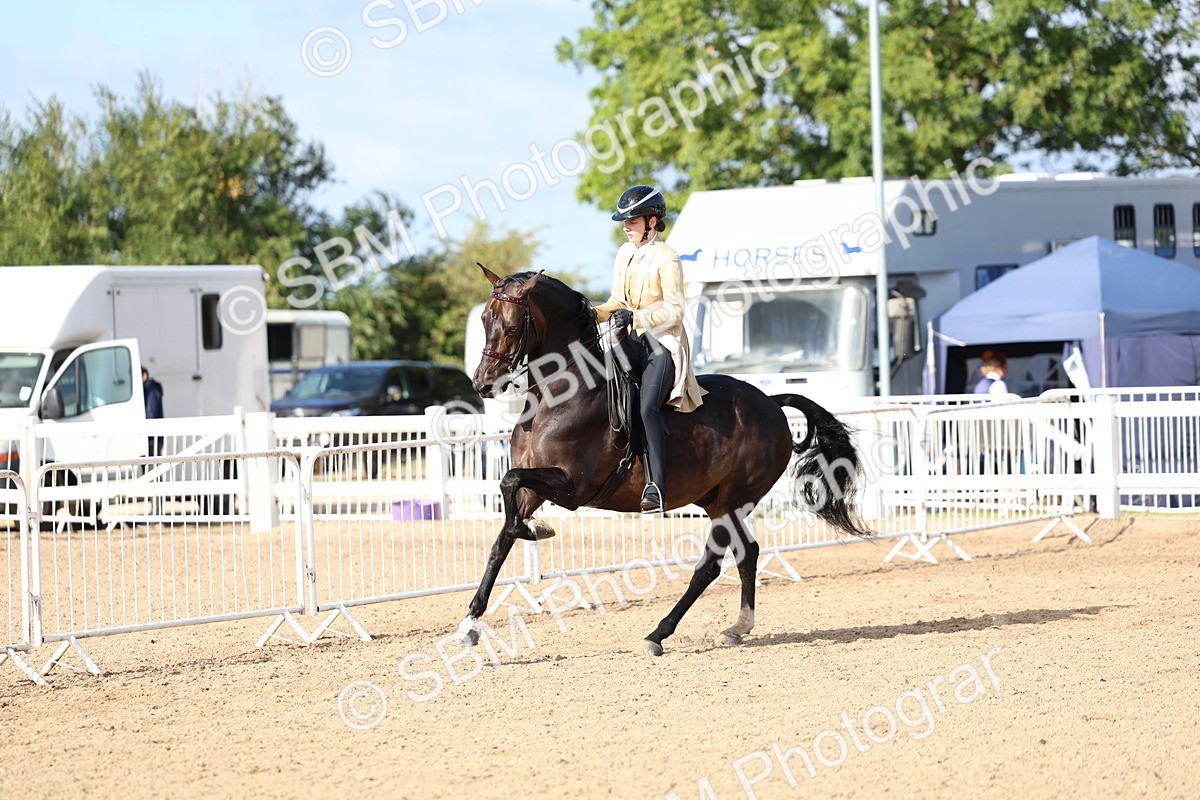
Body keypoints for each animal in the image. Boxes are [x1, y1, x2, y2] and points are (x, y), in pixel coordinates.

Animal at [458, 265, 870, 656]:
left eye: (513, 326)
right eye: (485, 320)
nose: (482, 384)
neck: (559, 396)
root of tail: (770, 402)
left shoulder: (572, 487)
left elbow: (510, 486)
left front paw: (535, 529)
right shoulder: (535, 489)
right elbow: (501, 537)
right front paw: (470, 623)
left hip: (734, 500)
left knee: (710, 565)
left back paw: (658, 634)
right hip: (718, 501)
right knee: (747, 552)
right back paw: (739, 626)